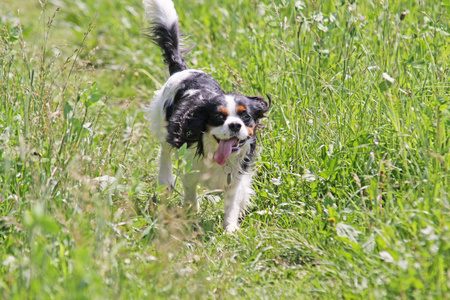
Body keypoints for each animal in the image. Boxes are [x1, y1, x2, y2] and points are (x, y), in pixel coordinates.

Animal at [143, 0, 268, 232]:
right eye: (219, 117)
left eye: (245, 116)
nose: (235, 125)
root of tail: (183, 69)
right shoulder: (190, 172)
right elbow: (191, 196)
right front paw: (192, 219)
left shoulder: (236, 179)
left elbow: (233, 203)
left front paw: (229, 230)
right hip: (163, 122)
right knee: (165, 150)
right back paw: (165, 180)